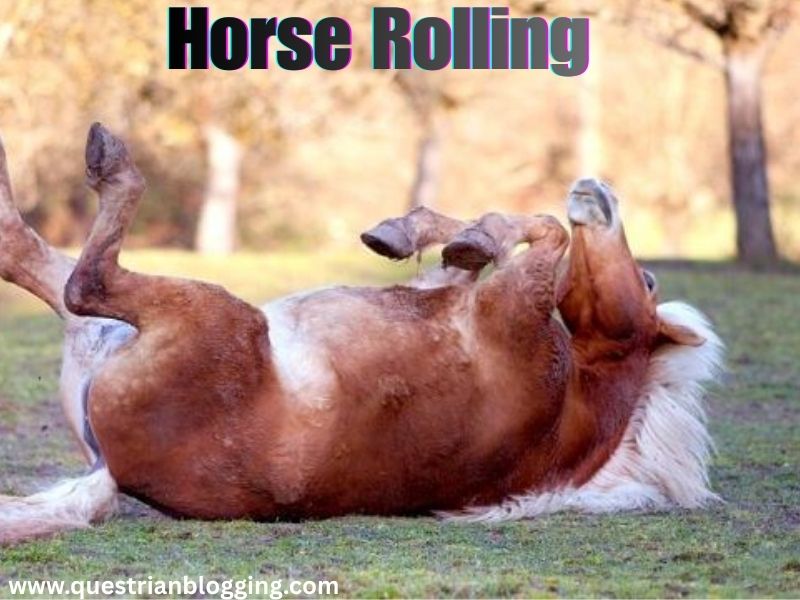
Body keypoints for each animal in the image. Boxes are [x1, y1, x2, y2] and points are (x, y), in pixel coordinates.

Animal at [0, 124, 722, 544]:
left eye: (645, 288)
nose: (598, 191)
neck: (570, 395)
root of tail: (116, 473)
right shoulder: (469, 293)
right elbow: (475, 248)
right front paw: (414, 232)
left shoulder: (516, 304)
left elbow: (542, 227)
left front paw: (474, 235)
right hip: (106, 333)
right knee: (30, 256)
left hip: (203, 312)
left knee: (84, 280)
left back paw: (108, 160)